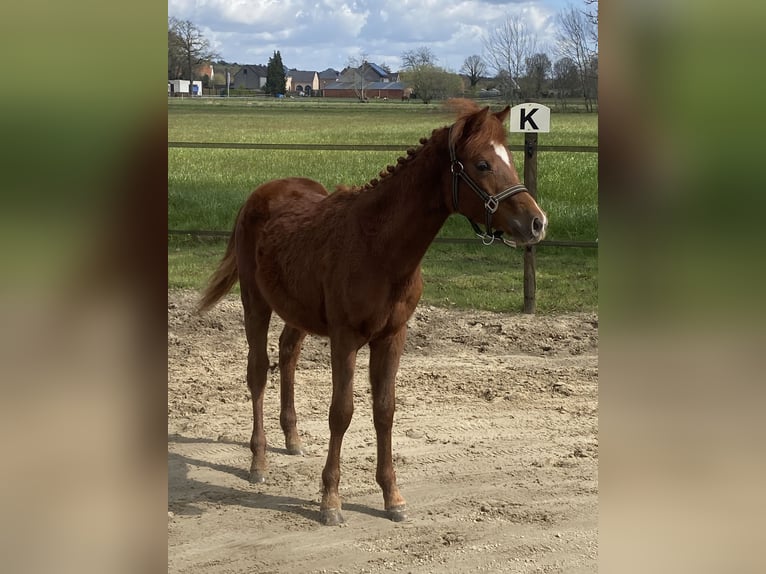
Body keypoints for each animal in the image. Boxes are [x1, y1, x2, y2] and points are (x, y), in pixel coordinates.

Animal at [197, 98, 547, 525]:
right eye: (482, 164)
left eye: (509, 159)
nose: (537, 223)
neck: (378, 247)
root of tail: (260, 194)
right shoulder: (345, 338)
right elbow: (341, 412)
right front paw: (330, 500)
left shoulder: (392, 337)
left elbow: (384, 410)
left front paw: (392, 497)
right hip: (255, 302)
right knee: (258, 372)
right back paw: (259, 461)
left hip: (297, 311)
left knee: (288, 353)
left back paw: (292, 438)